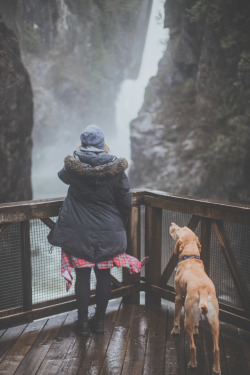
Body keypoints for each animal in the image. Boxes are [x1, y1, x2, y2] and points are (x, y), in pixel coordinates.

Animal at [170, 225, 221, 374]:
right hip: (215, 323)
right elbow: (197, 323)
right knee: (217, 349)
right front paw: (197, 329)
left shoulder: (178, 297)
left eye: (179, 230)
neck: (191, 257)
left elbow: (176, 318)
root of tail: (203, 290)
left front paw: (175, 331)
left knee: (193, 347)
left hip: (187, 319)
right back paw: (216, 369)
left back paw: (192, 363)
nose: (172, 224)